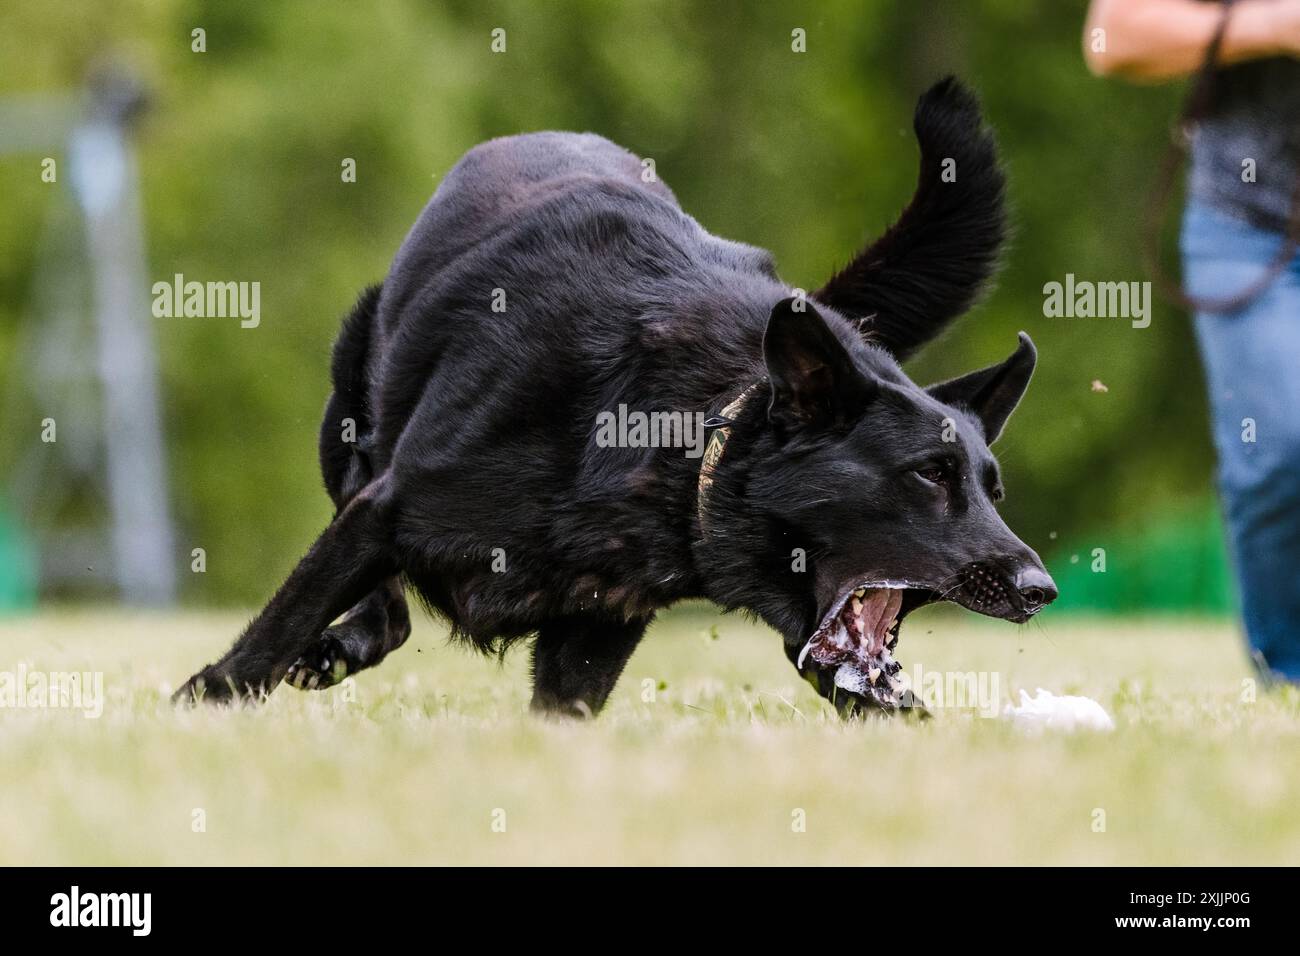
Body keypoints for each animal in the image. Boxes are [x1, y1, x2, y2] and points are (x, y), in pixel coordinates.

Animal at [178, 76, 1055, 717]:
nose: (1039, 590)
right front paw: (203, 702)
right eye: (928, 475)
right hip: (350, 420)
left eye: (993, 489)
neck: (684, 429)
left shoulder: (599, 627)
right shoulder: (388, 510)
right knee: (383, 602)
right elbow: (276, 630)